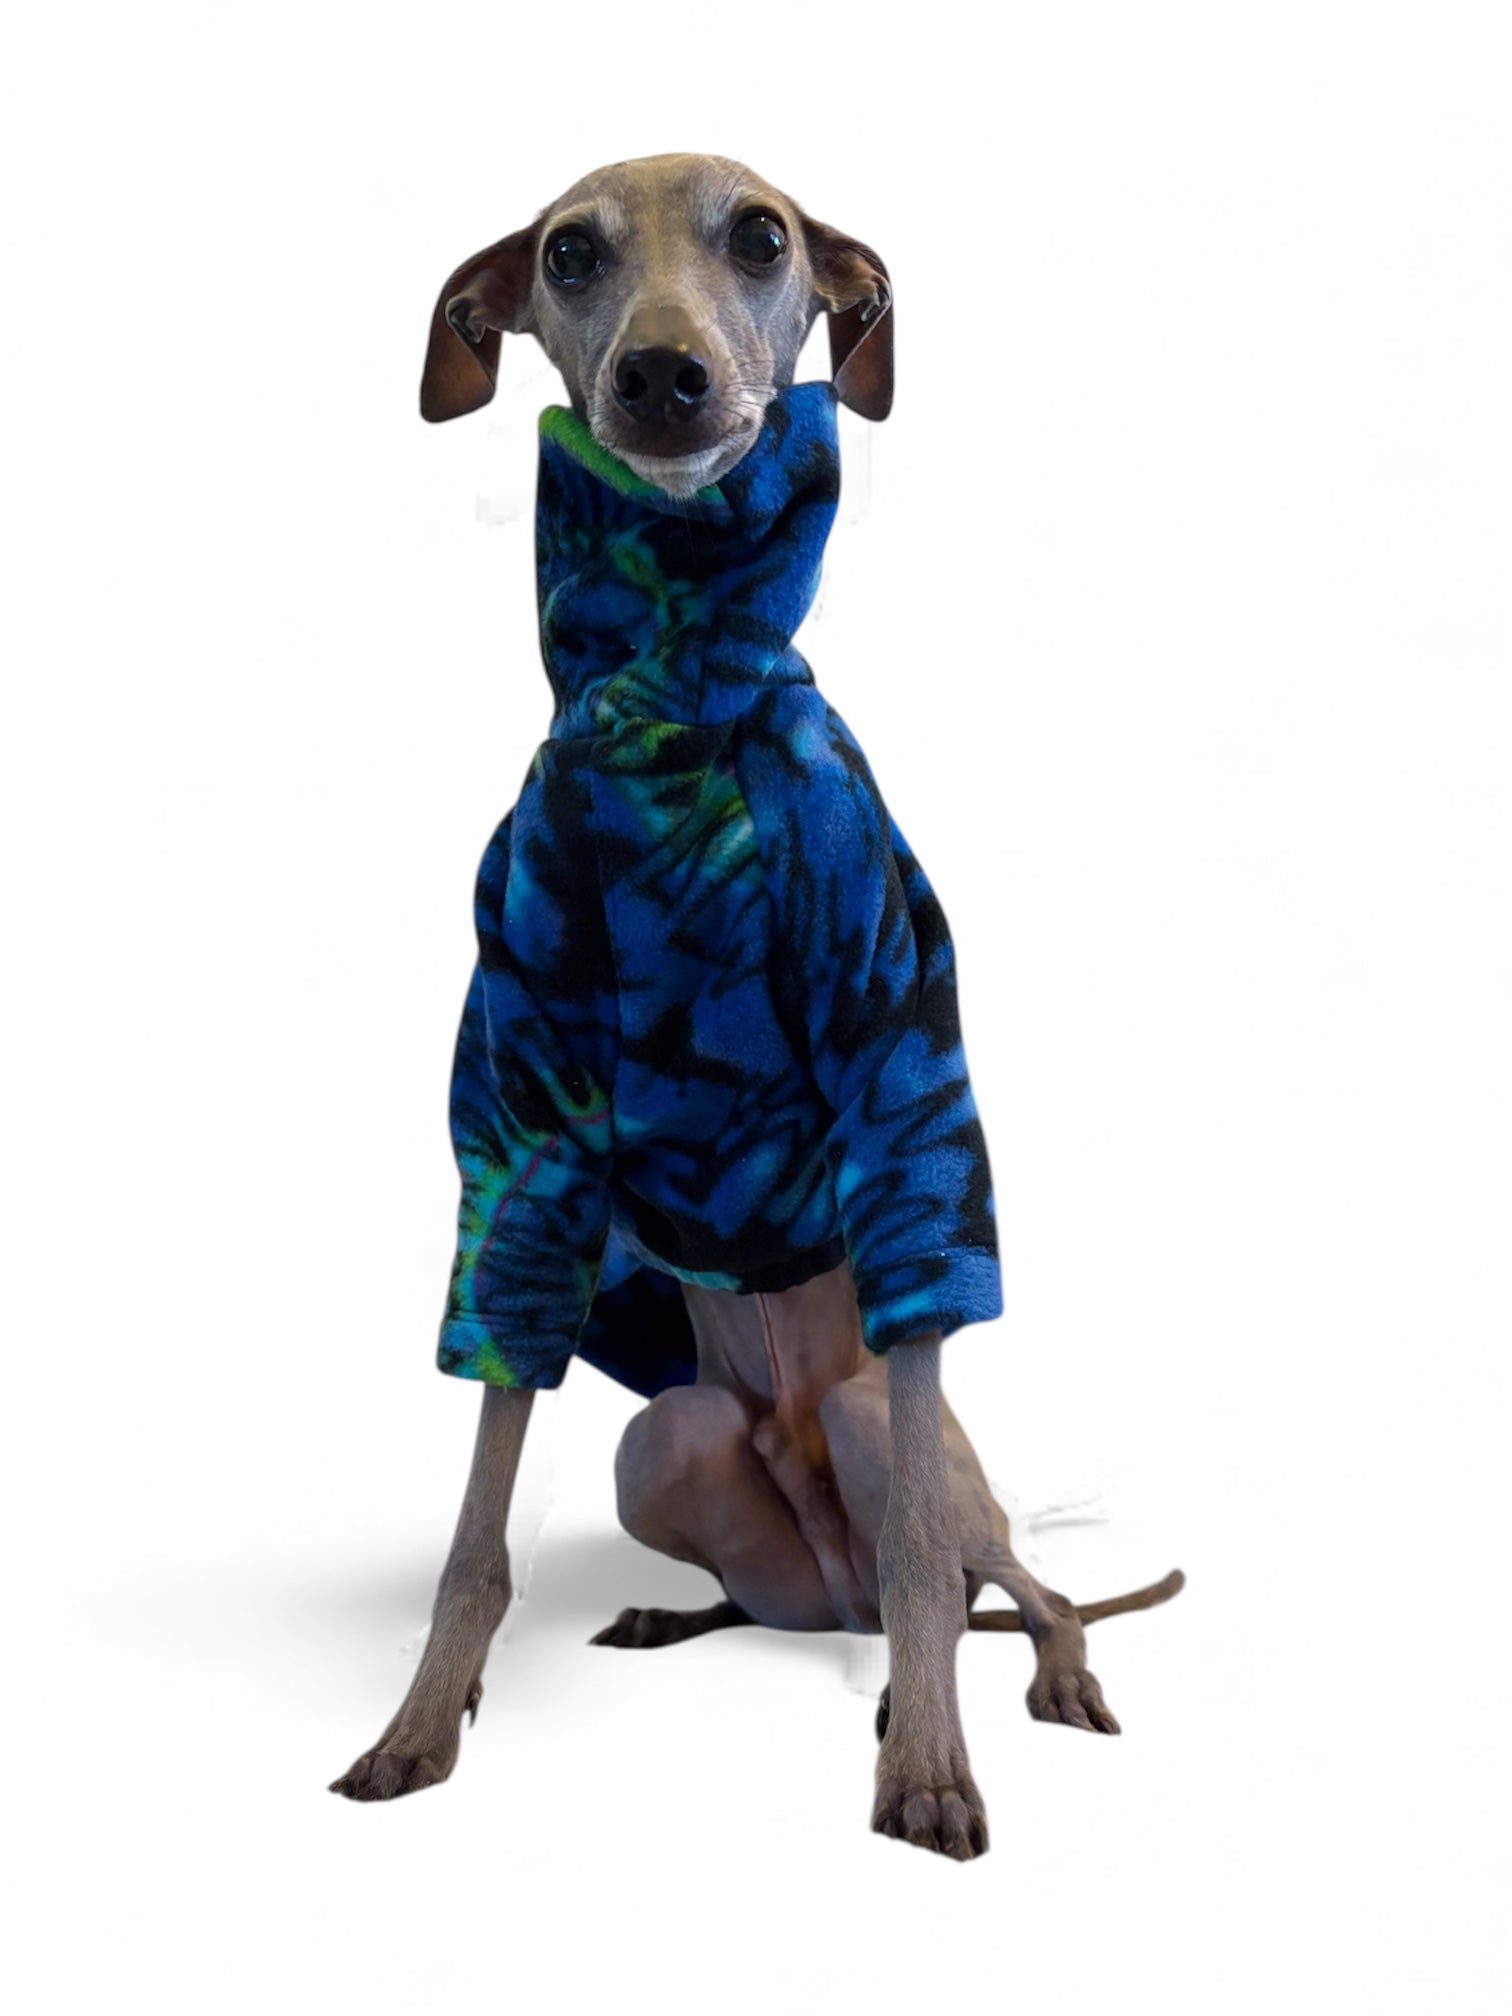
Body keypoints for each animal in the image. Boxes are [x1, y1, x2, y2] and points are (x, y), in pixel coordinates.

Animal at [329, 154, 1182, 1859]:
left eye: (764, 236)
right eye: (569, 256)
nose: (665, 376)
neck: (664, 702)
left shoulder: (899, 1070)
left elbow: (925, 1524)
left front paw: (931, 1772)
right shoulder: (522, 1136)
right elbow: (478, 1525)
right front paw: (418, 1725)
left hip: (880, 1430)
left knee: (994, 1582)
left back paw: (1020, 1685)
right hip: (664, 1444)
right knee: (837, 1597)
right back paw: (691, 1621)